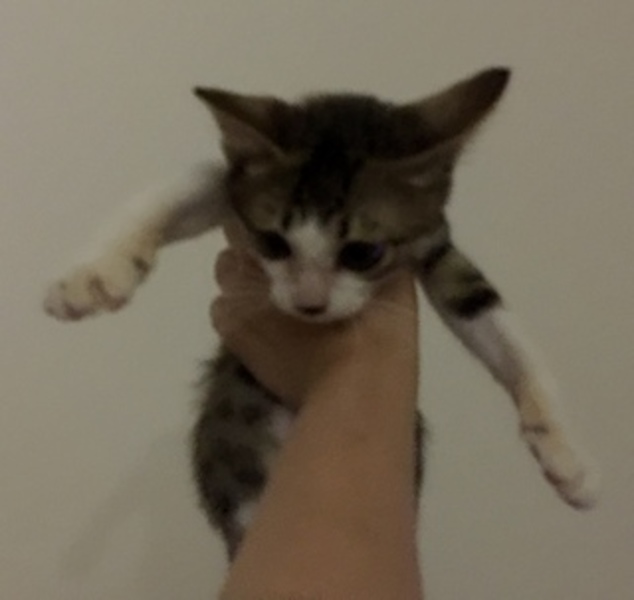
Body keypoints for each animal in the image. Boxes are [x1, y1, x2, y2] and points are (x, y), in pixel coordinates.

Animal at [44, 67, 598, 559]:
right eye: (272, 243)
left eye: (363, 253)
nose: (309, 303)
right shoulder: (233, 186)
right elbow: (182, 186)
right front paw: (95, 275)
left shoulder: (433, 242)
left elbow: (492, 316)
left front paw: (564, 451)